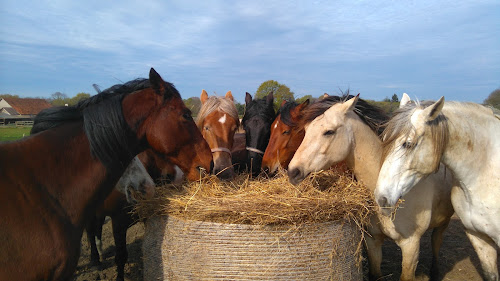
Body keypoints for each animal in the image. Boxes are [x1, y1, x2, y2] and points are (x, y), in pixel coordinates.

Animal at [288, 94, 456, 280]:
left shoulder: (411, 245)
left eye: (329, 132)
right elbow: (375, 272)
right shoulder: (372, 240)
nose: (293, 171)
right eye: (306, 129)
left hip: (443, 223)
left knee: (436, 242)